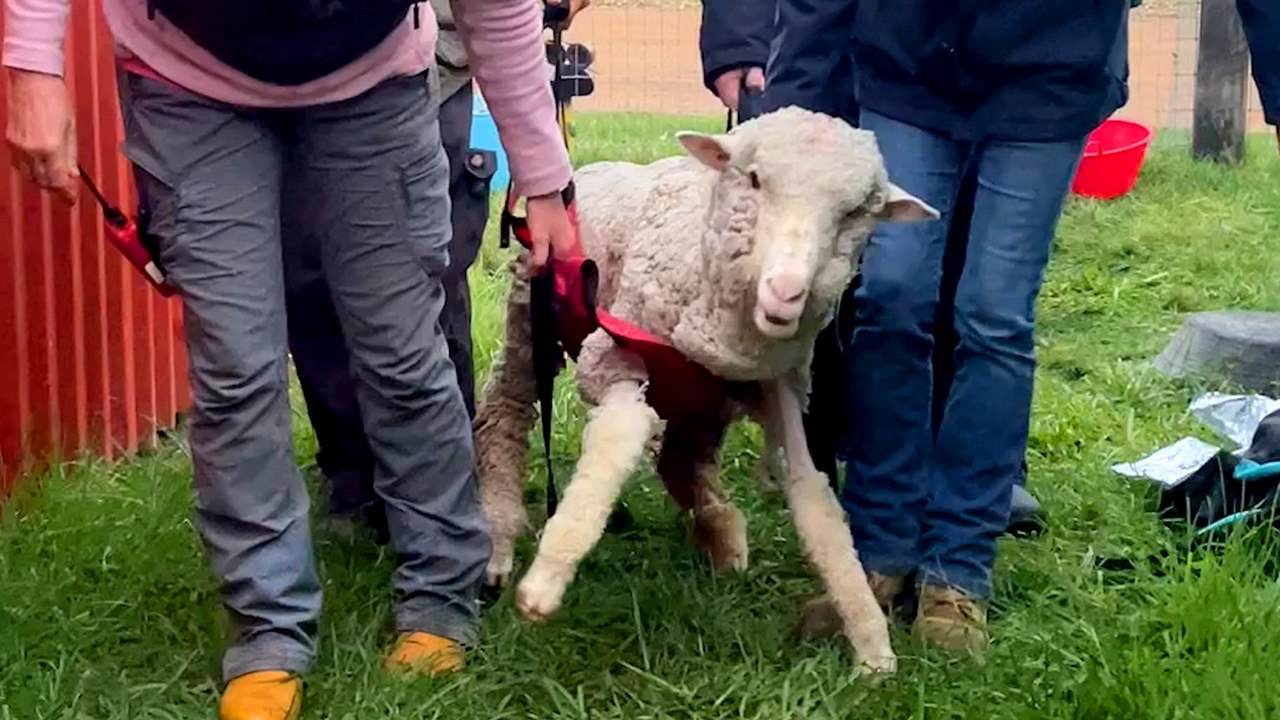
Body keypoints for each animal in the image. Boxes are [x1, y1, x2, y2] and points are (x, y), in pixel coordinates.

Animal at [472, 106, 937, 673]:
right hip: (531, 321)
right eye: (753, 179)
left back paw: (722, 533)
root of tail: (588, 169)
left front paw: (872, 645)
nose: (785, 294)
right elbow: (614, 447)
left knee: (679, 460)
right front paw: (546, 580)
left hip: (702, 403)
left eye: (854, 214)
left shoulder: (779, 387)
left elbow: (816, 504)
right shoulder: (615, 361)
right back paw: (499, 537)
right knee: (506, 409)